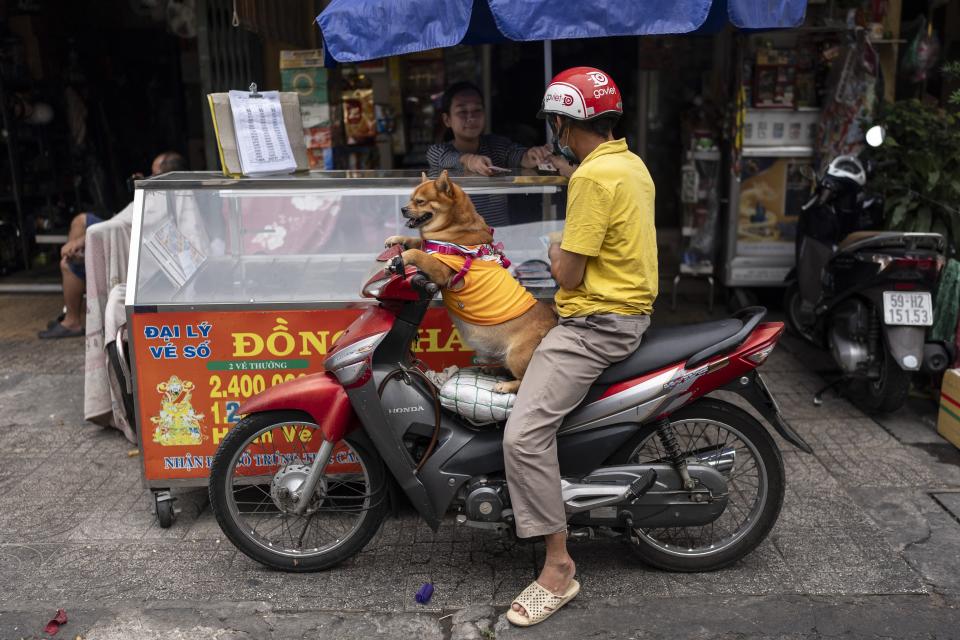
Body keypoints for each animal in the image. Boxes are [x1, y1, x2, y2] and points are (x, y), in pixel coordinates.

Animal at [382, 169, 556, 396]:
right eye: (410, 199)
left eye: (419, 201)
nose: (403, 208)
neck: (453, 228)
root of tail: (554, 322)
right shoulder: (430, 247)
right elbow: (418, 243)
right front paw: (395, 239)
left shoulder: (441, 270)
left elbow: (418, 253)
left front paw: (400, 258)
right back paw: (492, 370)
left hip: (516, 355)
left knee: (525, 381)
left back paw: (506, 385)